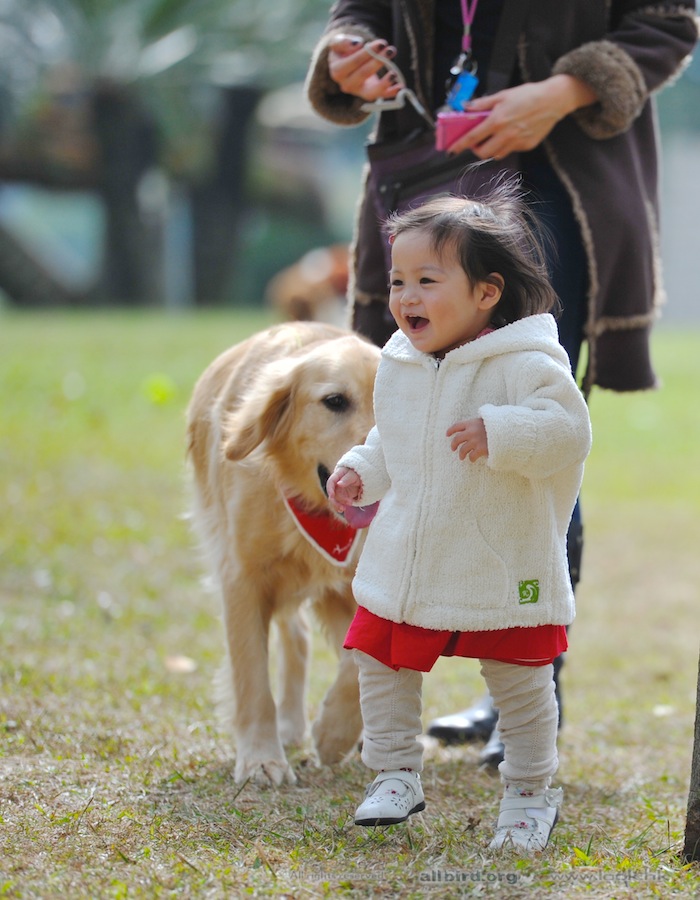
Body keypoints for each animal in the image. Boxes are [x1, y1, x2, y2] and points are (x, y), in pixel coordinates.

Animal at [186, 321, 380, 785]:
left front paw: (333, 733)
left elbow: (357, 661)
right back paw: (288, 728)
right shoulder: (241, 578)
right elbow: (253, 678)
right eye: (334, 401)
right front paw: (261, 759)